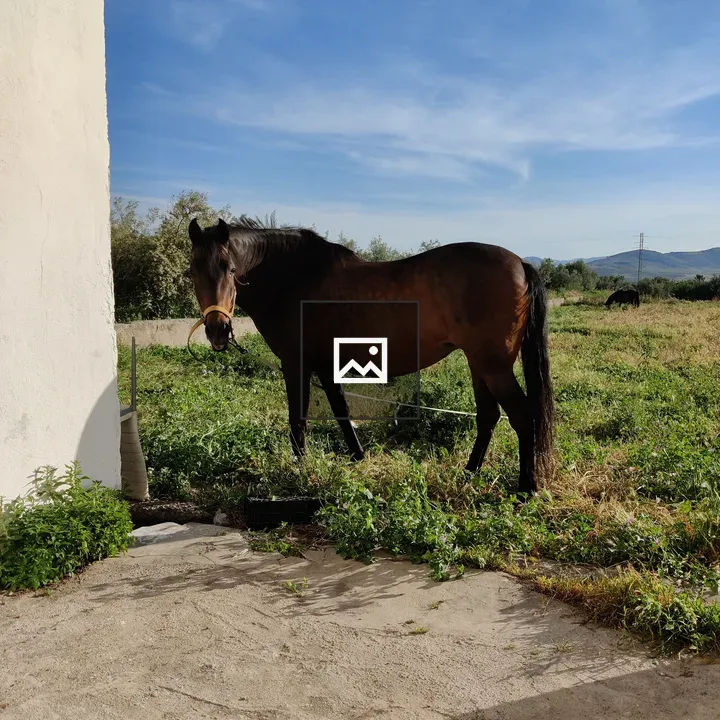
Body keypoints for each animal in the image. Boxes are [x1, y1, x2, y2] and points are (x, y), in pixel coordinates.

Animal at [186, 216, 555, 495]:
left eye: (230, 268)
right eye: (192, 271)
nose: (217, 330)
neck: (293, 279)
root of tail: (521, 263)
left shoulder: (296, 363)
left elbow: (298, 418)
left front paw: (299, 468)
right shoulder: (326, 365)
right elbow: (341, 412)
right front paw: (357, 456)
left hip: (494, 366)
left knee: (522, 415)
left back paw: (527, 488)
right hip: (478, 363)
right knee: (488, 416)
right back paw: (469, 473)